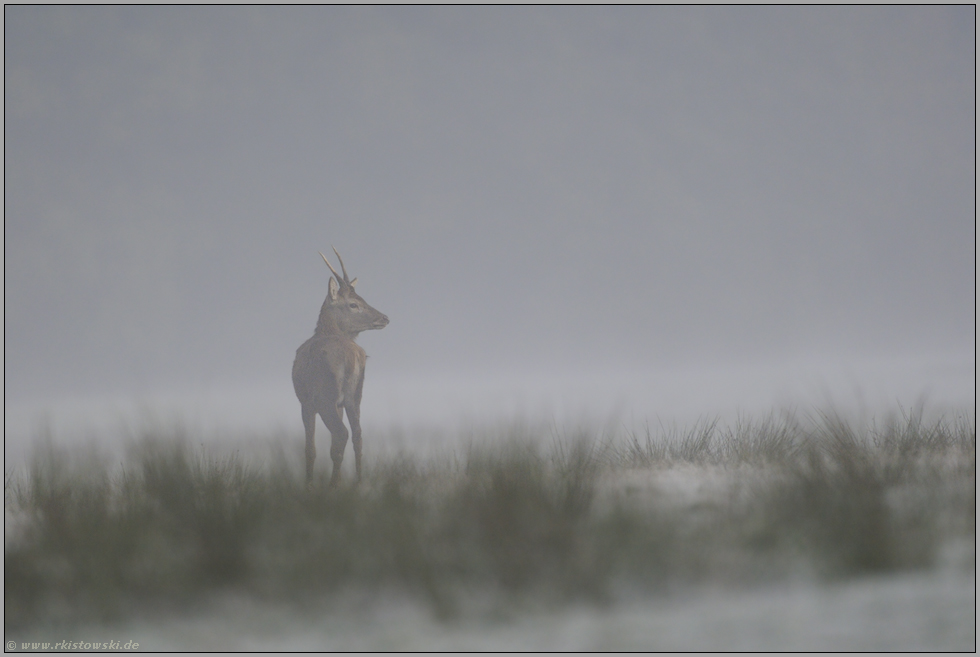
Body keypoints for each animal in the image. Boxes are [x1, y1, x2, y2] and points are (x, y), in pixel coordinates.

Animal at [290, 249, 386, 484]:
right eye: (354, 303)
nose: (385, 317)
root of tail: (352, 356)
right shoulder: (340, 404)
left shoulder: (305, 402)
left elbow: (310, 449)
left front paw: (308, 485)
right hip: (354, 396)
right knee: (358, 435)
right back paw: (358, 482)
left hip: (325, 397)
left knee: (341, 434)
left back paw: (333, 486)